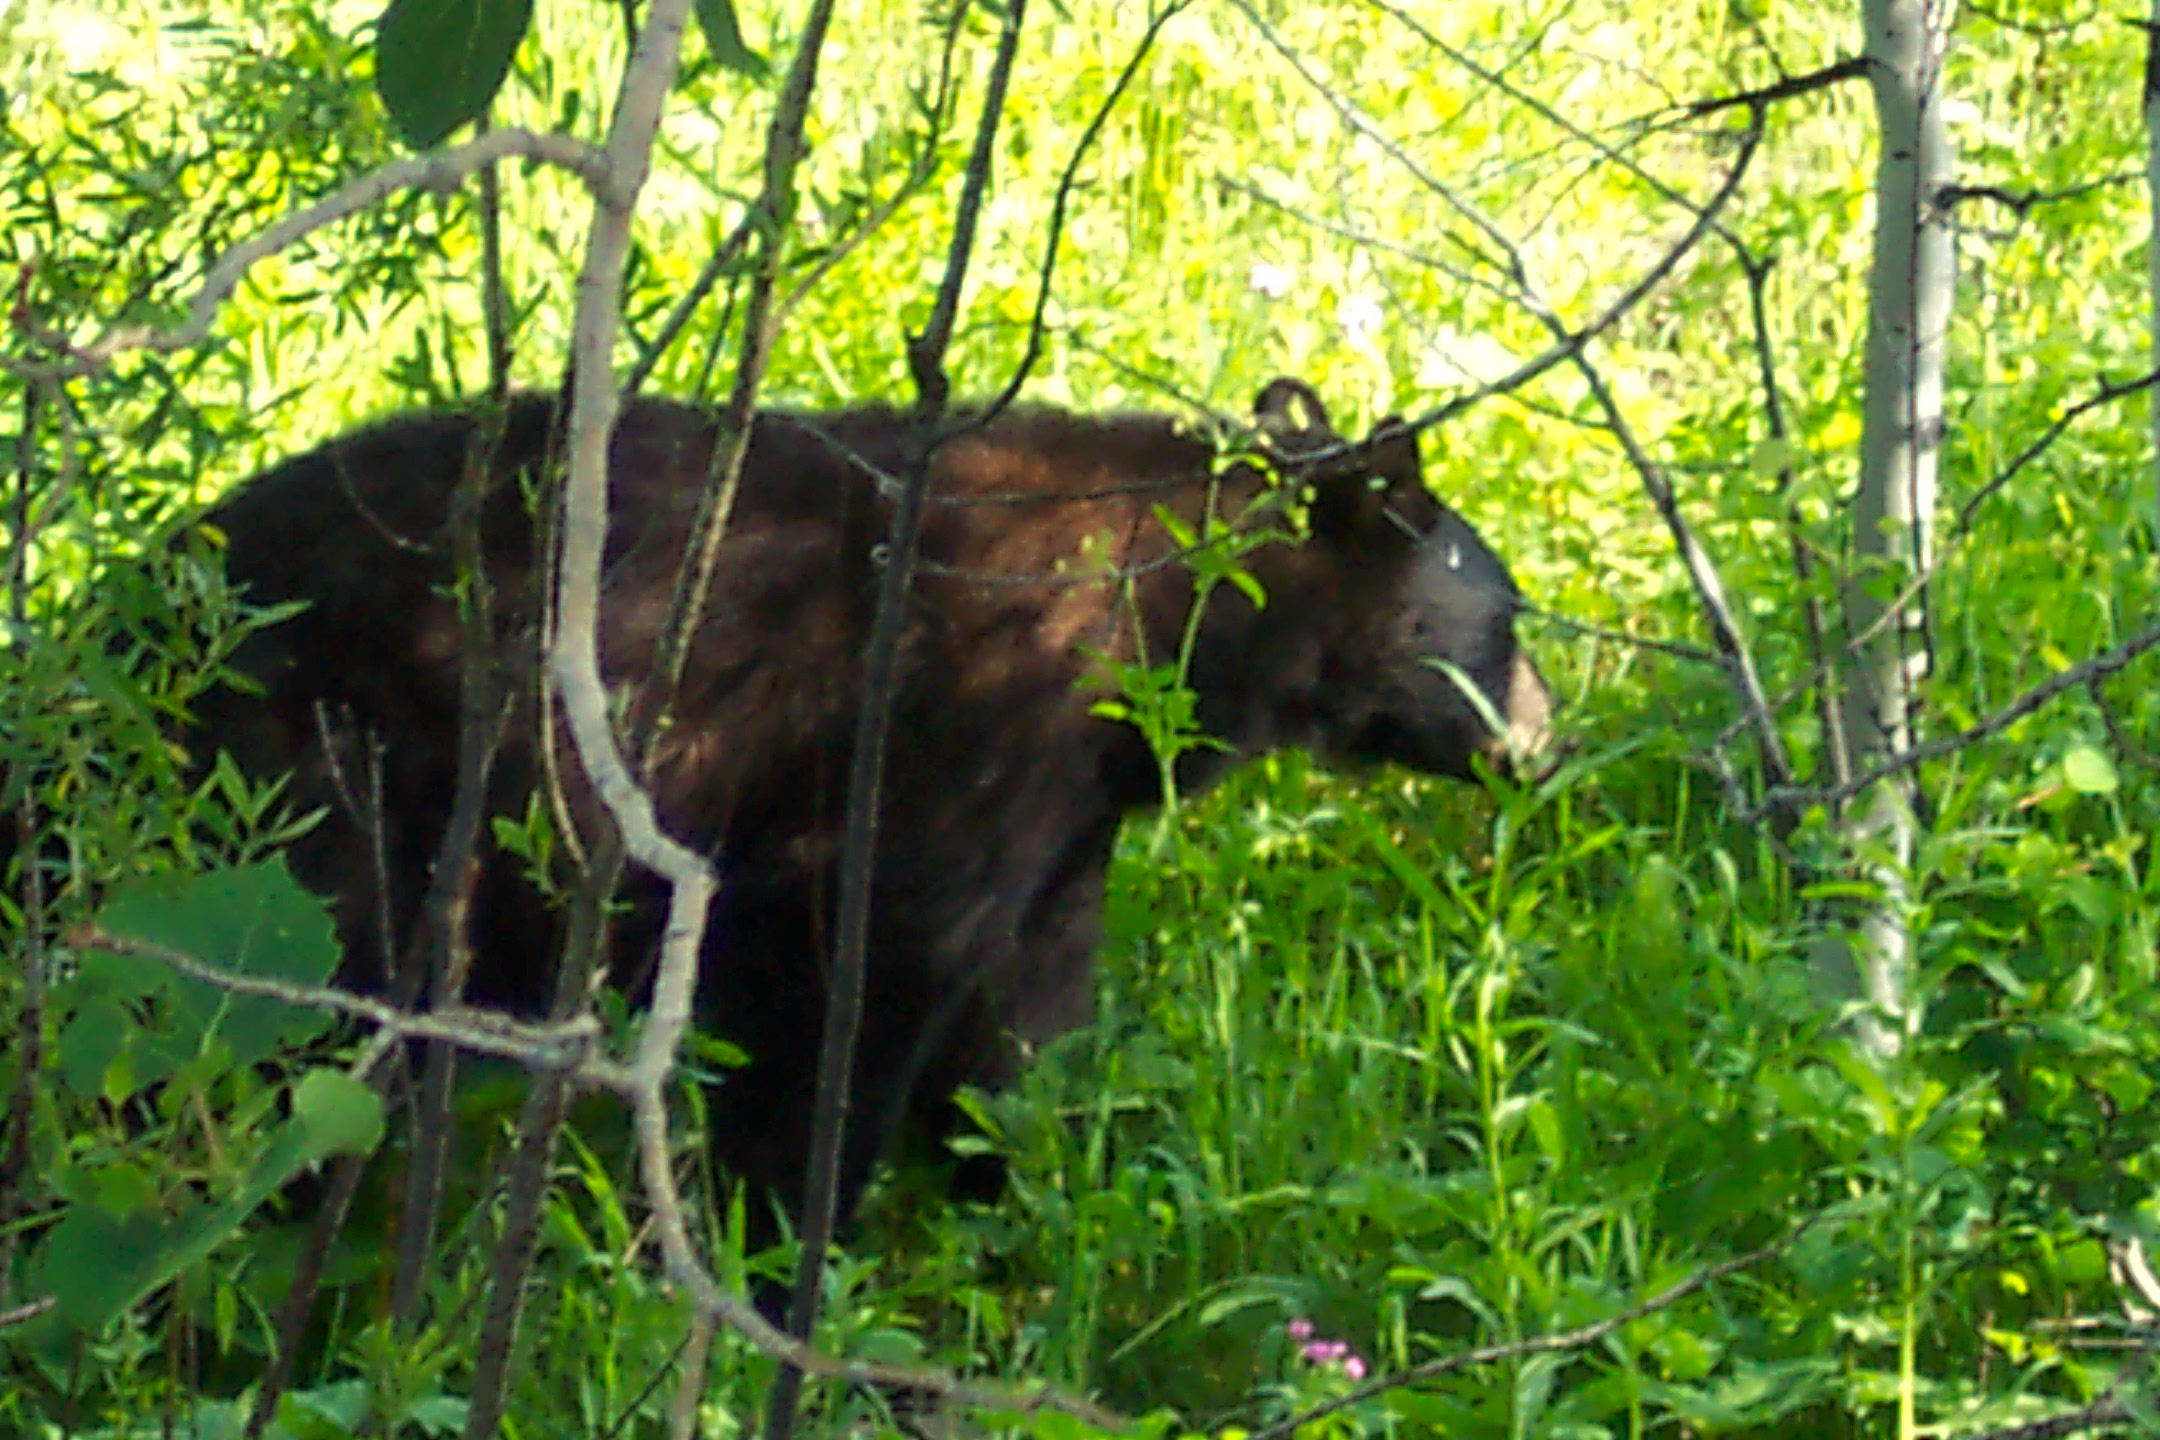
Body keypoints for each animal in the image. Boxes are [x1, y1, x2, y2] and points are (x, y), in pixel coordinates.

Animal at [181, 377, 1555, 1234]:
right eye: (1512, 621)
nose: (1553, 740)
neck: (1178, 612)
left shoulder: (1063, 823)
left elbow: (1021, 1029)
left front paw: (1025, 1201)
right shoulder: (954, 744)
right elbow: (847, 998)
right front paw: (785, 1247)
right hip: (324, 801)